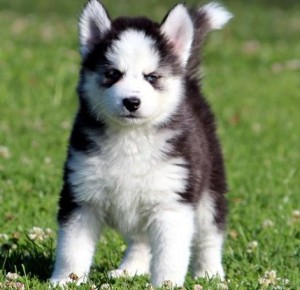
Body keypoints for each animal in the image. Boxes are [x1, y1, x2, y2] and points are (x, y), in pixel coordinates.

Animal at [51, 0, 232, 286]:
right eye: (113, 74)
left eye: (152, 77)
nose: (131, 102)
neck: (131, 138)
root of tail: (190, 83)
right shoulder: (81, 197)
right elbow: (72, 248)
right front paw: (66, 280)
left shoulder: (172, 204)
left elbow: (170, 255)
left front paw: (166, 285)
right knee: (140, 239)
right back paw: (130, 269)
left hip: (209, 190)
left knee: (209, 236)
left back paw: (210, 273)